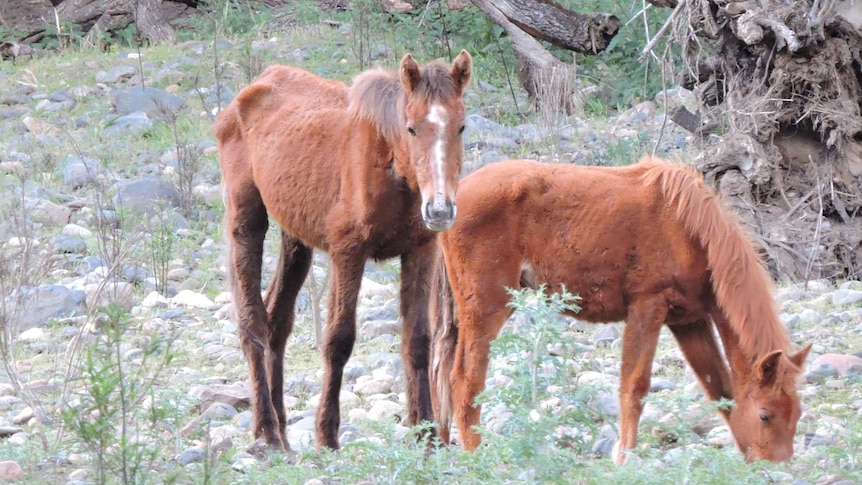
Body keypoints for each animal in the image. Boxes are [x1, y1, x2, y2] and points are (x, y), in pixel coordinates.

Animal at [216, 51, 472, 452]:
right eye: (411, 128)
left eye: (461, 127)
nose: (440, 210)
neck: (392, 169)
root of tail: (252, 88)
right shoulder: (347, 253)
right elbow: (338, 340)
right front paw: (327, 435)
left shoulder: (421, 251)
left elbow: (418, 341)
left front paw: (427, 436)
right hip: (247, 222)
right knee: (253, 322)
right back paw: (267, 432)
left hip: (295, 238)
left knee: (277, 320)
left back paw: (282, 429)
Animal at [436, 157, 812, 464]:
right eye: (764, 415)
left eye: (797, 414)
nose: (777, 467)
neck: (690, 230)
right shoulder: (648, 307)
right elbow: (635, 387)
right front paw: (624, 458)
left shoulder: (690, 321)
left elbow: (719, 388)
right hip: (487, 310)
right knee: (465, 379)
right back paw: (476, 455)